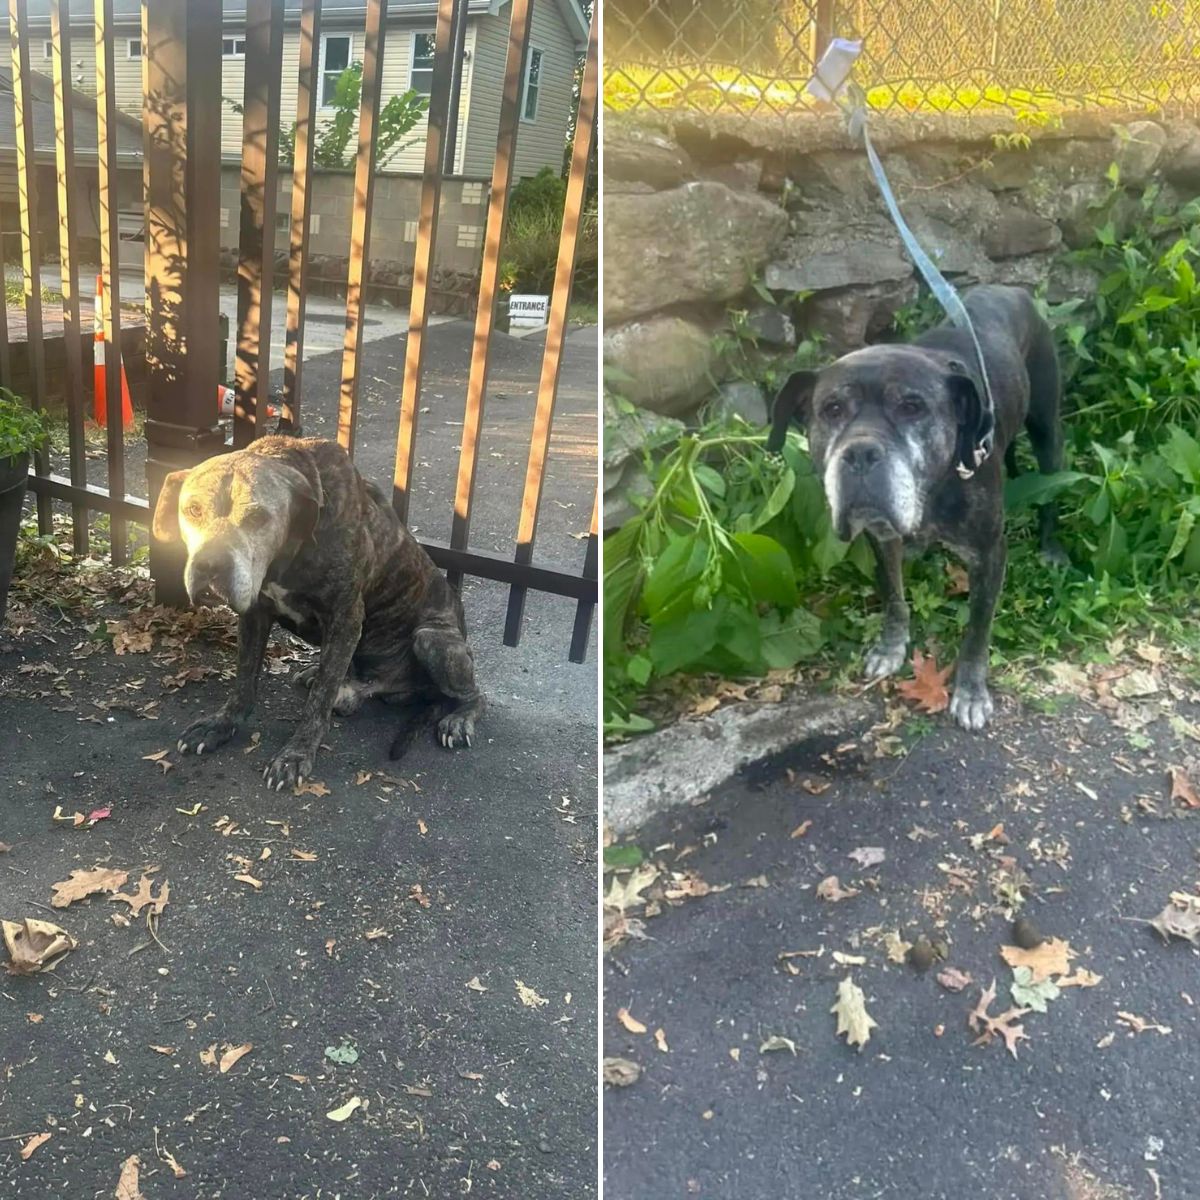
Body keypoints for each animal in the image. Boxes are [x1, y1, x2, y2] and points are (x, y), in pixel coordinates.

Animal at [152, 436, 484, 792]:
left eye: (258, 517)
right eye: (192, 510)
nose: (210, 565)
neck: (290, 550)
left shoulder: (345, 620)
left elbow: (319, 701)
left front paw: (296, 754)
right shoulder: (255, 614)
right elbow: (244, 679)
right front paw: (221, 724)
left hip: (432, 639)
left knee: (475, 694)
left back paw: (458, 720)